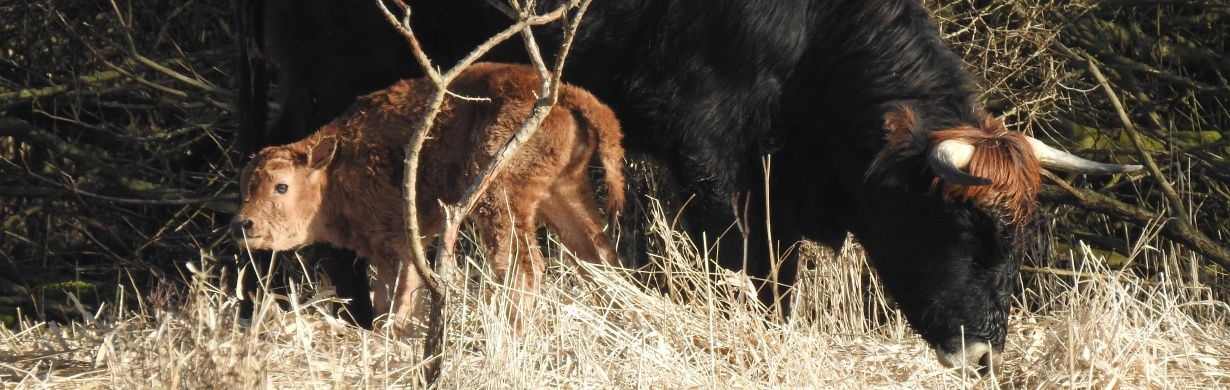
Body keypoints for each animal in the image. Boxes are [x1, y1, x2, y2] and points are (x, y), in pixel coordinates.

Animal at [232, 62, 624, 332]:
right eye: (244, 186)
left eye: (281, 186)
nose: (243, 224)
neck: (335, 168)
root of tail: (568, 94)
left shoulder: (399, 247)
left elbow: (393, 301)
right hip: (563, 192)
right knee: (598, 255)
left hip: (499, 200)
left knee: (520, 270)